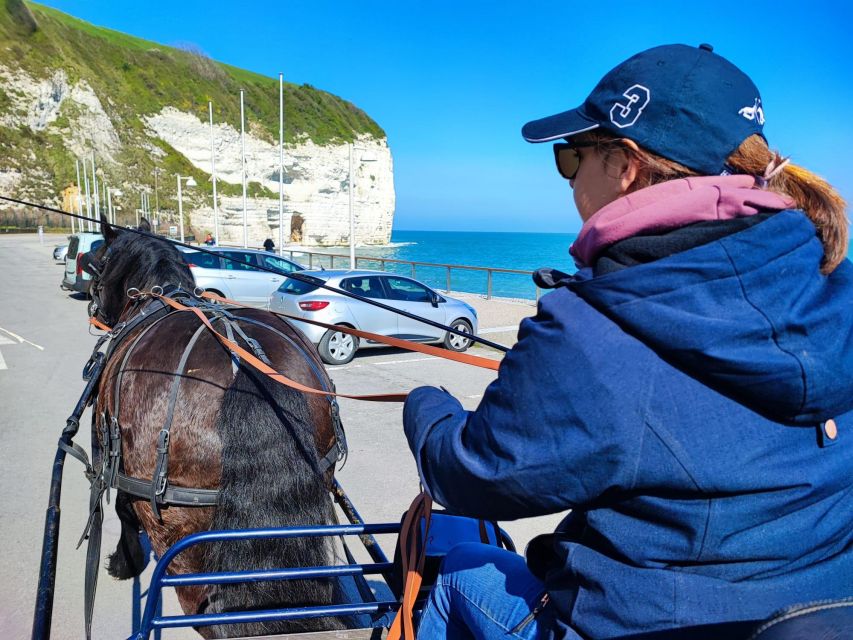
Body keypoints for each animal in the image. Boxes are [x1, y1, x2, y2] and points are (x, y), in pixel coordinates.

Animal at [89, 218, 346, 636]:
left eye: (97, 263)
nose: (93, 306)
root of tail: (250, 375)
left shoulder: (114, 461)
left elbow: (123, 511)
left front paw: (124, 562)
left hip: (181, 540)